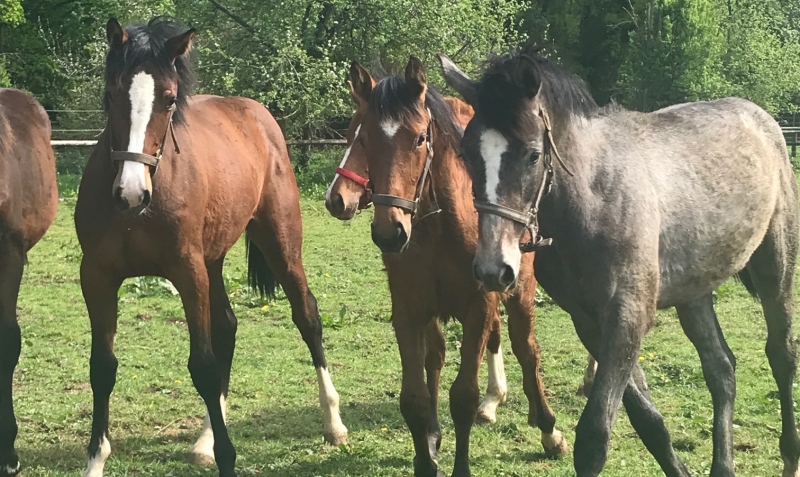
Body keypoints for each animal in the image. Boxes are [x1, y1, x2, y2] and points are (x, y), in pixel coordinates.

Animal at [74, 16, 346, 474]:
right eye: (112, 94)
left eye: (169, 100)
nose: (130, 193)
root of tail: (256, 113)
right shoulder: (97, 277)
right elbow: (102, 367)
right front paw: (95, 460)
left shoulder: (187, 272)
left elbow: (201, 365)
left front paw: (228, 458)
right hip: (213, 261)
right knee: (227, 327)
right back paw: (204, 438)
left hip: (280, 244)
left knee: (307, 316)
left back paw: (333, 421)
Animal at [348, 56, 568, 476]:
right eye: (364, 139)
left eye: (420, 138)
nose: (389, 233)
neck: (440, 227)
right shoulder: (409, 310)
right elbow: (414, 397)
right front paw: (426, 456)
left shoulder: (477, 306)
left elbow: (463, 395)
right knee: (437, 357)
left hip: (520, 290)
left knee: (525, 347)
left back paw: (547, 428)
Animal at [438, 49, 800, 476]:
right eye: (467, 154)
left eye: (533, 155)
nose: (495, 268)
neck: (593, 201)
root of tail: (761, 119)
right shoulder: (590, 322)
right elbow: (647, 420)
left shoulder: (628, 315)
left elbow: (594, 438)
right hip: (694, 292)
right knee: (721, 369)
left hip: (775, 269)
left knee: (781, 356)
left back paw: (790, 457)